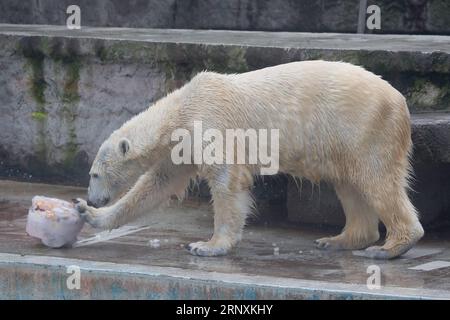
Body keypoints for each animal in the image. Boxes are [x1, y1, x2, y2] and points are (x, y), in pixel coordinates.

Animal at [75, 60, 424, 260]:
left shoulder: (210, 124)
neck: (183, 107)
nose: (91, 197)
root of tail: (399, 100)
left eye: (94, 174)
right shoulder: (182, 147)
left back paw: (387, 248)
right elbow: (157, 185)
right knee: (350, 185)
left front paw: (207, 246)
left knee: (376, 180)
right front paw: (90, 215)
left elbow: (227, 181)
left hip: (364, 127)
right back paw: (338, 240)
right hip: (344, 141)